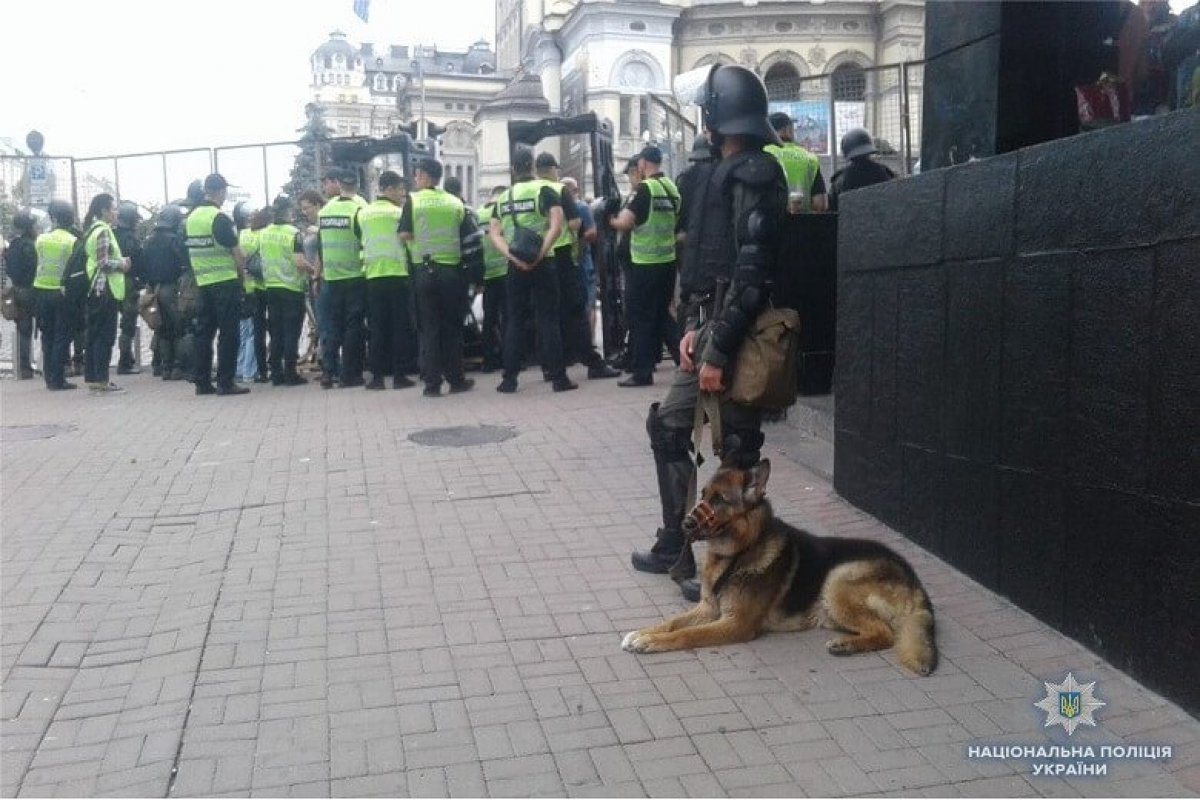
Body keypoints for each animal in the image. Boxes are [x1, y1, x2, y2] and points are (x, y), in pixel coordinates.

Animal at [621, 459, 938, 675]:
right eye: (703, 494)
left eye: (720, 500)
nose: (685, 523)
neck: (739, 553)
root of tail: (915, 581)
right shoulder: (708, 609)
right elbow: (671, 622)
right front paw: (643, 633)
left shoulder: (736, 624)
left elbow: (686, 634)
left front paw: (652, 642)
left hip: (836, 580)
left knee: (885, 633)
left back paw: (846, 646)